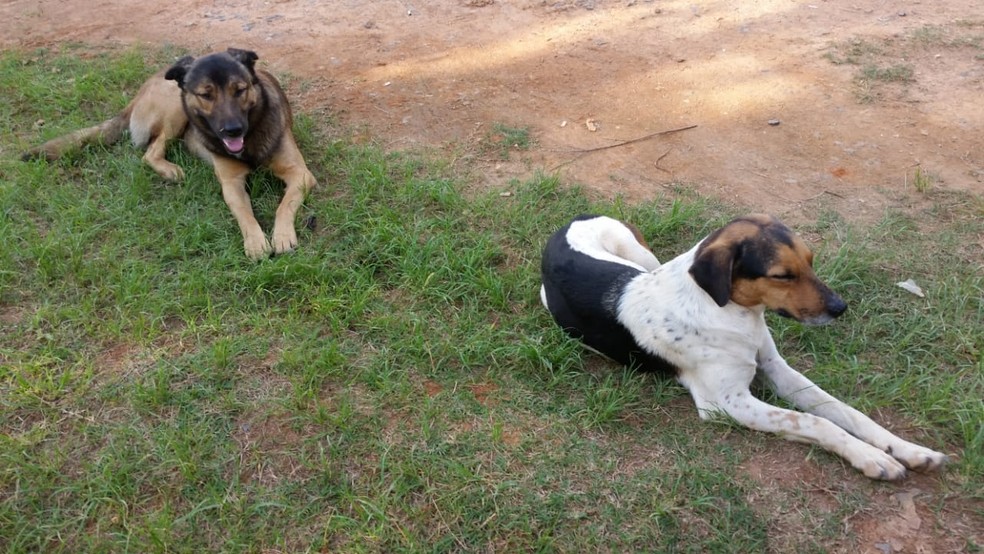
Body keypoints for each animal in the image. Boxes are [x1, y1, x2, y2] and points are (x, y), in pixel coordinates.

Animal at [23, 47, 316, 258]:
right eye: (206, 95)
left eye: (240, 90)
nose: (232, 130)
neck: (250, 138)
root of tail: (144, 88)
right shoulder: (231, 184)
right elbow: (245, 214)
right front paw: (256, 241)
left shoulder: (300, 175)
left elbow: (284, 205)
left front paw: (282, 236)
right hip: (175, 108)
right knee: (151, 150)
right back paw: (170, 170)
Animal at [540, 213, 948, 476]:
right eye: (781, 275)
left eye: (811, 261)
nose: (840, 308)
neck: (731, 313)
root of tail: (574, 218)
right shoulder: (727, 403)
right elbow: (816, 422)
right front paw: (871, 458)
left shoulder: (777, 370)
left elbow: (844, 411)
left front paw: (907, 449)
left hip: (641, 256)